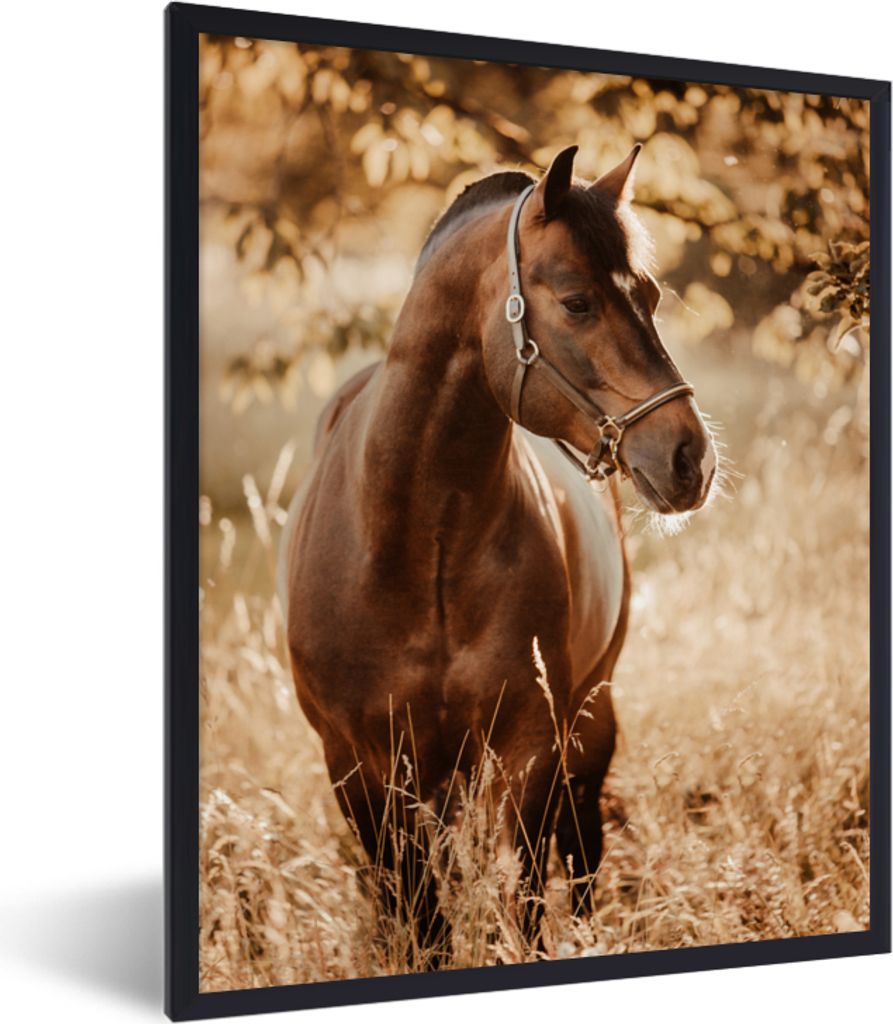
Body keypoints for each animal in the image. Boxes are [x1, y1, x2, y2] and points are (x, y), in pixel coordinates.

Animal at [278, 143, 716, 964]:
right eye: (576, 302)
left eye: (649, 293)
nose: (690, 459)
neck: (418, 546)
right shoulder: (359, 767)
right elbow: (419, 920)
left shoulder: (531, 750)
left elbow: (529, 902)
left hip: (588, 723)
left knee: (580, 855)